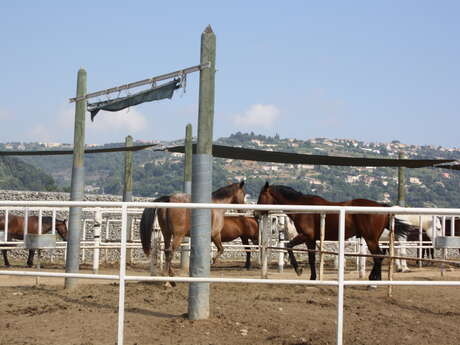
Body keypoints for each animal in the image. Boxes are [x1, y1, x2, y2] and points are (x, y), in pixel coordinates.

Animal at [255, 183, 410, 280]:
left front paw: (298, 270)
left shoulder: (305, 236)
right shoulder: (311, 240)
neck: (304, 207)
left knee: (378, 256)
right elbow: (311, 259)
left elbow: (289, 246)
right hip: (373, 239)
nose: (256, 214)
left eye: (261, 196)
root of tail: (381, 207)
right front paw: (313, 277)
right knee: (380, 255)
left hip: (370, 239)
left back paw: (373, 278)